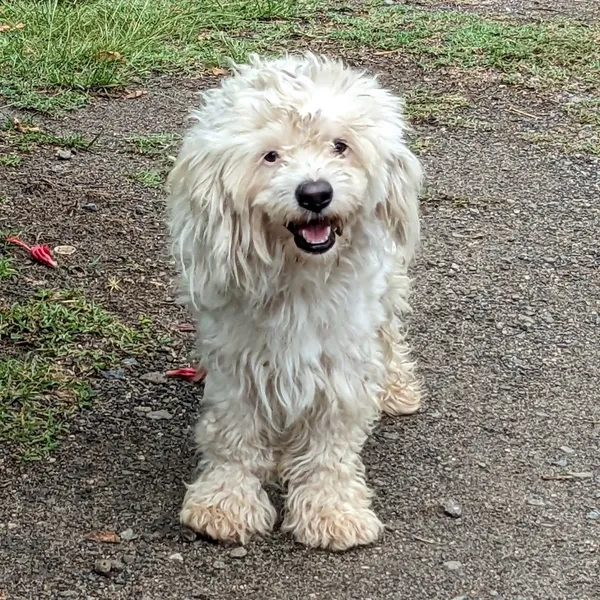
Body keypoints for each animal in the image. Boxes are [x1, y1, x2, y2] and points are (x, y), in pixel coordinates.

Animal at [166, 54, 424, 552]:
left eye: (340, 146)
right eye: (271, 155)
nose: (315, 193)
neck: (299, 273)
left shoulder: (339, 360)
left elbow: (330, 448)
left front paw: (332, 510)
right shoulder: (236, 359)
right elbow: (233, 435)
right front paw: (225, 502)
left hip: (386, 291)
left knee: (389, 335)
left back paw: (396, 389)